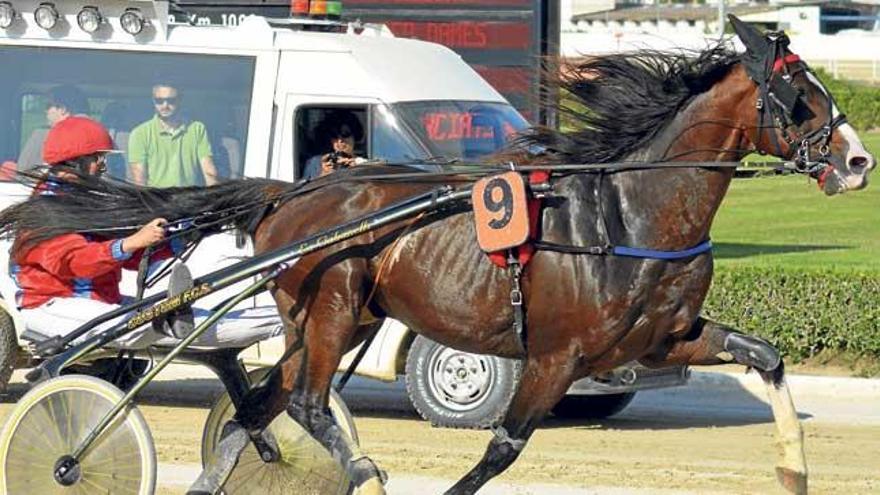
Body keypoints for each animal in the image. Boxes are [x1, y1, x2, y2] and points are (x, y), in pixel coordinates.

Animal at [0, 17, 868, 495]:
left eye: (822, 93)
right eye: (801, 100)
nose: (858, 160)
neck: (630, 210)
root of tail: (288, 192)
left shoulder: (661, 338)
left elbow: (768, 355)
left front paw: (795, 471)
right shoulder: (556, 353)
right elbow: (503, 447)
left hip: (332, 317)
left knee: (260, 403)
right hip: (335, 298)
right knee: (306, 402)